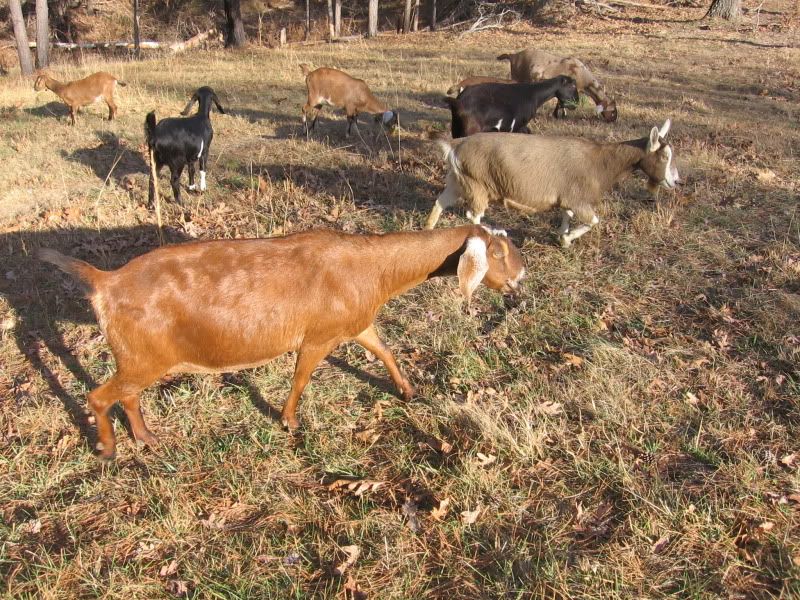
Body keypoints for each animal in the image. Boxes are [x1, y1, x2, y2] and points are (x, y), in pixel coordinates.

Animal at [37, 226, 525, 460]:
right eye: (497, 252)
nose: (521, 277)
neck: (375, 269)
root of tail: (105, 282)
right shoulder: (319, 335)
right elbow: (301, 377)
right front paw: (290, 423)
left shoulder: (355, 323)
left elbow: (384, 350)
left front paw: (407, 391)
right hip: (142, 357)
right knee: (100, 396)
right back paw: (109, 449)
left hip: (140, 359)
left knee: (129, 396)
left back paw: (147, 437)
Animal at [425, 120, 679, 247]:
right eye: (664, 156)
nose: (675, 181)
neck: (600, 161)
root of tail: (456, 145)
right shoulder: (579, 200)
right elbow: (593, 221)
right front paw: (566, 239)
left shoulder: (568, 197)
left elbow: (566, 214)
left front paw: (562, 236)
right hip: (478, 184)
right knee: (473, 215)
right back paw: (495, 232)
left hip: (459, 180)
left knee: (441, 202)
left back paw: (429, 230)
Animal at [445, 77, 579, 139]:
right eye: (572, 86)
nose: (576, 102)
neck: (533, 94)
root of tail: (458, 102)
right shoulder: (517, 125)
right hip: (470, 130)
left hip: (456, 129)